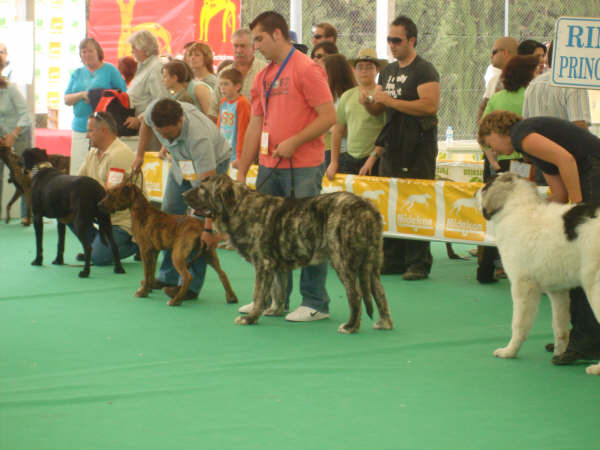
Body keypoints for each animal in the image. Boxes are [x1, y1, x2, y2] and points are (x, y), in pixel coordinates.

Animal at [23, 147, 125, 278]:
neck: (41, 168)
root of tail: (96, 188)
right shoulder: (61, 220)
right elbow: (60, 243)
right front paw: (58, 261)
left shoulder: (37, 217)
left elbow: (39, 243)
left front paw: (38, 261)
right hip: (105, 221)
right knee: (114, 245)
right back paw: (119, 269)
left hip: (79, 222)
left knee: (88, 247)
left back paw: (85, 272)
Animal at [99, 182, 238, 306]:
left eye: (111, 194)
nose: (99, 204)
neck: (141, 211)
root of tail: (200, 227)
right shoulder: (154, 252)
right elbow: (151, 273)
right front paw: (148, 289)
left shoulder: (145, 250)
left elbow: (147, 272)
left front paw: (142, 292)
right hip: (209, 253)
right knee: (222, 274)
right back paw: (231, 297)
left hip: (177, 255)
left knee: (187, 276)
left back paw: (176, 300)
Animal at [185, 174, 396, 332]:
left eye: (203, 188)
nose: (184, 193)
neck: (239, 206)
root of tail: (367, 207)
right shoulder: (275, 266)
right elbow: (278, 290)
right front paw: (275, 310)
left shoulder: (263, 264)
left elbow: (258, 294)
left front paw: (251, 318)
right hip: (373, 264)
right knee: (380, 292)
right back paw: (385, 322)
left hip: (342, 261)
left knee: (356, 295)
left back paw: (351, 326)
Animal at [476, 172, 600, 376]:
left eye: (486, 186)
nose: (474, 192)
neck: (515, 209)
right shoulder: (558, 291)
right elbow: (559, 326)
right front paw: (560, 352)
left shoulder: (523, 286)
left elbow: (518, 324)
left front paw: (509, 351)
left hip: (594, 287)